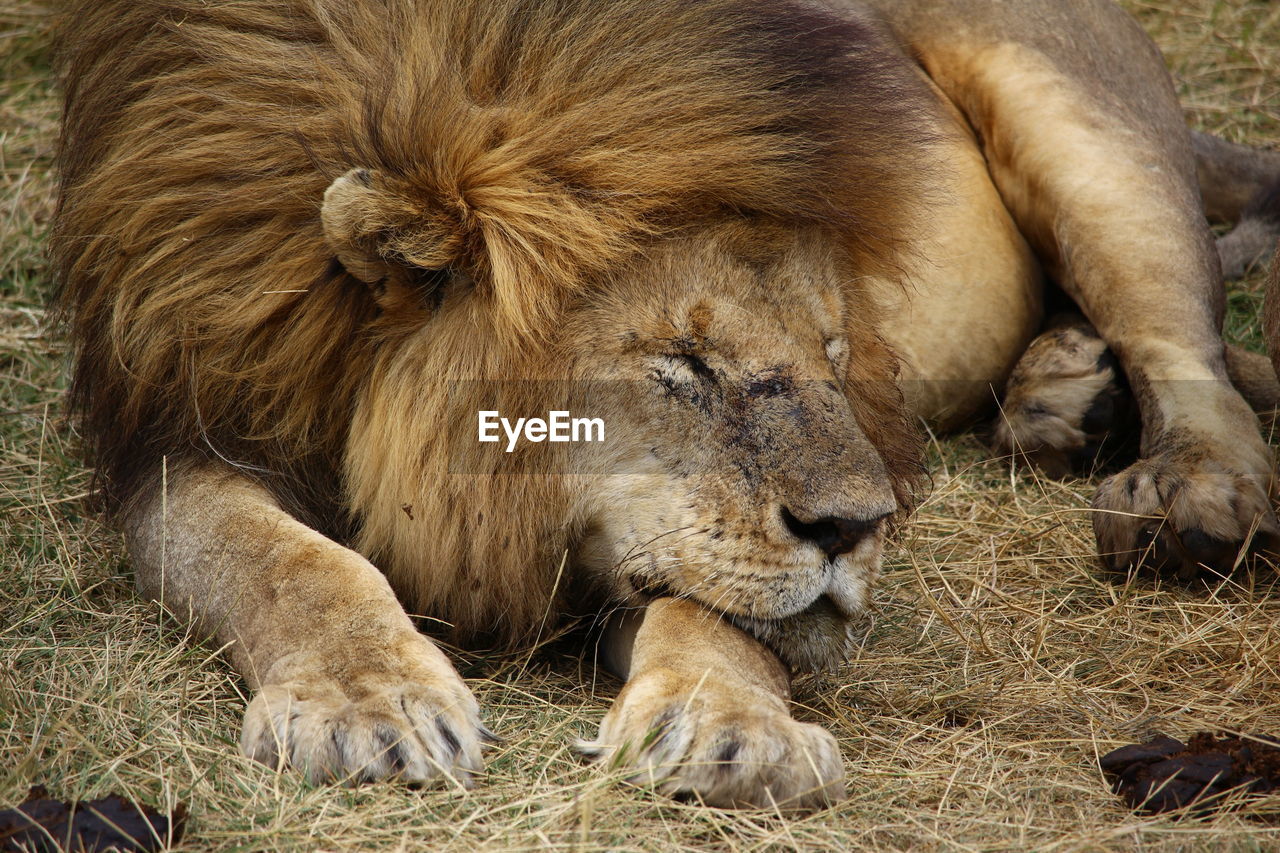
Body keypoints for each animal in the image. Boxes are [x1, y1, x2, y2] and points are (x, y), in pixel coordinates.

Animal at [55, 0, 1280, 809]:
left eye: (835, 351)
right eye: (683, 363)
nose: (859, 527)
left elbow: (720, 611)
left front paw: (732, 728)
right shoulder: (180, 433)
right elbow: (290, 561)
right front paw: (370, 704)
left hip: (1084, 128)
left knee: (1193, 349)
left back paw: (1185, 497)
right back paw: (1063, 393)